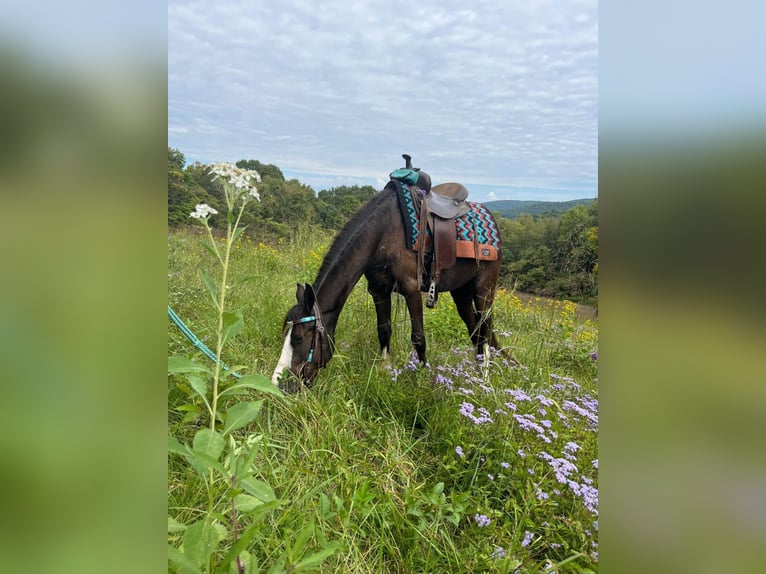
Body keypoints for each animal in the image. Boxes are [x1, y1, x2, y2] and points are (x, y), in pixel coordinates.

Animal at [272, 160, 508, 392]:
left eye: (298, 337)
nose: (279, 384)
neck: (383, 233)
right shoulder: (379, 290)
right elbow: (384, 330)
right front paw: (384, 372)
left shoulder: (412, 289)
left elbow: (418, 337)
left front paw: (423, 380)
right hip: (461, 293)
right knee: (475, 331)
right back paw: (475, 376)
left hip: (484, 291)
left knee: (485, 330)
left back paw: (484, 380)